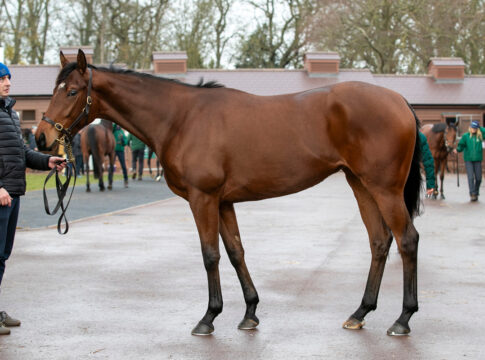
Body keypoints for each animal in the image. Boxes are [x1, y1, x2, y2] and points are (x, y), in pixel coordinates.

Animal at [36, 50, 422, 338]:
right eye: (56, 88)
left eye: (72, 91)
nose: (41, 137)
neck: (181, 118)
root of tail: (400, 101)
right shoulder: (224, 202)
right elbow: (236, 252)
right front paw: (250, 312)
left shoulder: (203, 198)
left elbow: (210, 255)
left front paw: (208, 317)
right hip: (361, 184)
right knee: (379, 241)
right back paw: (360, 313)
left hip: (384, 188)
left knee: (407, 240)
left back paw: (403, 319)